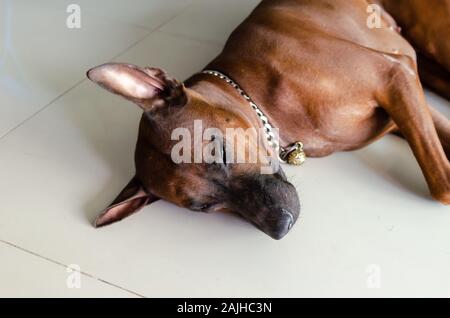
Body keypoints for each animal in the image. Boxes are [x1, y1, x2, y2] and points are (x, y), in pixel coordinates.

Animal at [86, 0, 448, 238]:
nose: (281, 227)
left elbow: (441, 185)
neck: (257, 94)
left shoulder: (395, 75)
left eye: (219, 152)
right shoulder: (402, 105)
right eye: (204, 207)